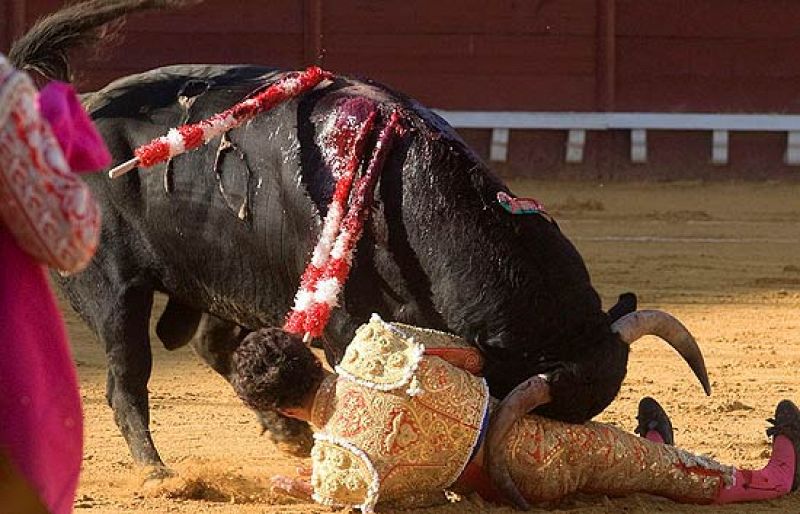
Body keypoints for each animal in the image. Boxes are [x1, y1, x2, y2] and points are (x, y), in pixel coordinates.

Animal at [12, 2, 708, 470]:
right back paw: (159, 471)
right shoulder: (349, 321)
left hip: (232, 274)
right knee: (126, 376)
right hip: (109, 287)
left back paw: (285, 434)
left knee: (217, 344)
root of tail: (82, 105)